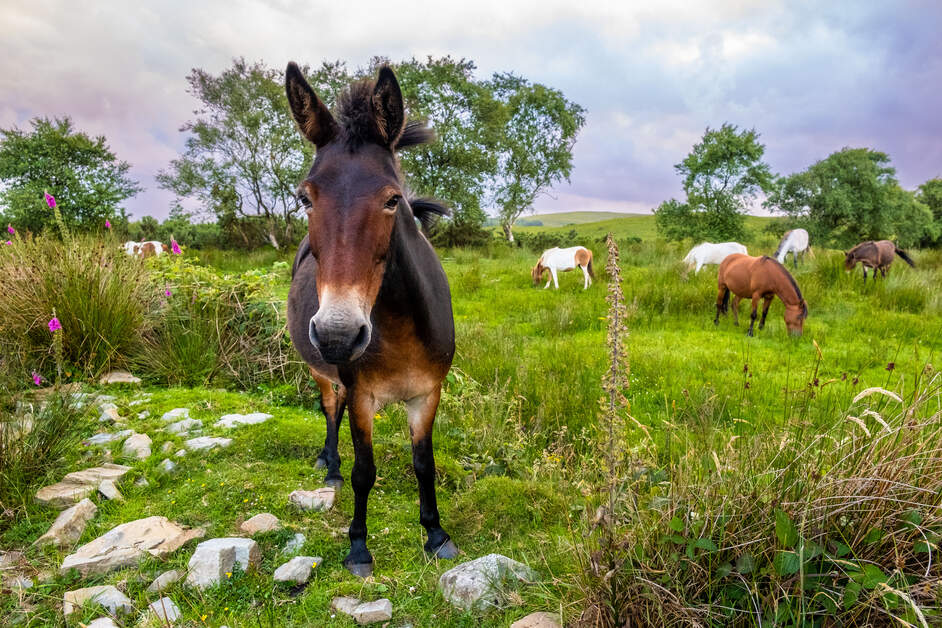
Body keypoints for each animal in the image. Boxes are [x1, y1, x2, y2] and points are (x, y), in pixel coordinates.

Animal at [284, 62, 457, 577]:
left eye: (392, 199)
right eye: (305, 198)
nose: (338, 334)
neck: (399, 328)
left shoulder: (427, 394)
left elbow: (424, 464)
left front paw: (435, 534)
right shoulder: (363, 396)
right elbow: (365, 471)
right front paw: (358, 547)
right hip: (322, 372)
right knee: (330, 408)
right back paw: (330, 465)